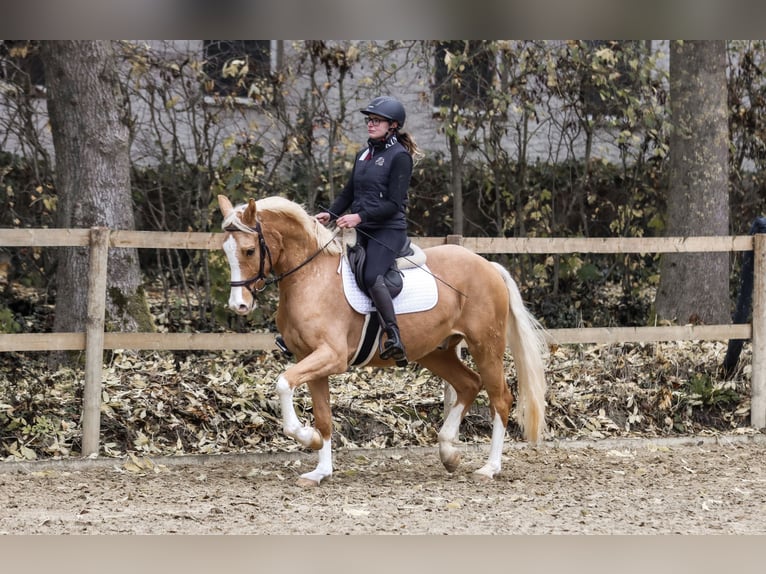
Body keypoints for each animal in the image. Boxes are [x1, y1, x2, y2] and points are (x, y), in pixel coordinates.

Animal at [219, 195, 548, 486]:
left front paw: (307, 438)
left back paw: (489, 468)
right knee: (468, 384)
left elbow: (283, 383)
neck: (311, 277)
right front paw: (320, 472)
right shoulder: (309, 359)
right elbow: (324, 417)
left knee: (500, 398)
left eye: (249, 251)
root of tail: (488, 266)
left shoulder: (331, 356)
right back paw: (448, 452)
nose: (238, 305)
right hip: (435, 351)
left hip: (485, 346)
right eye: (226, 250)